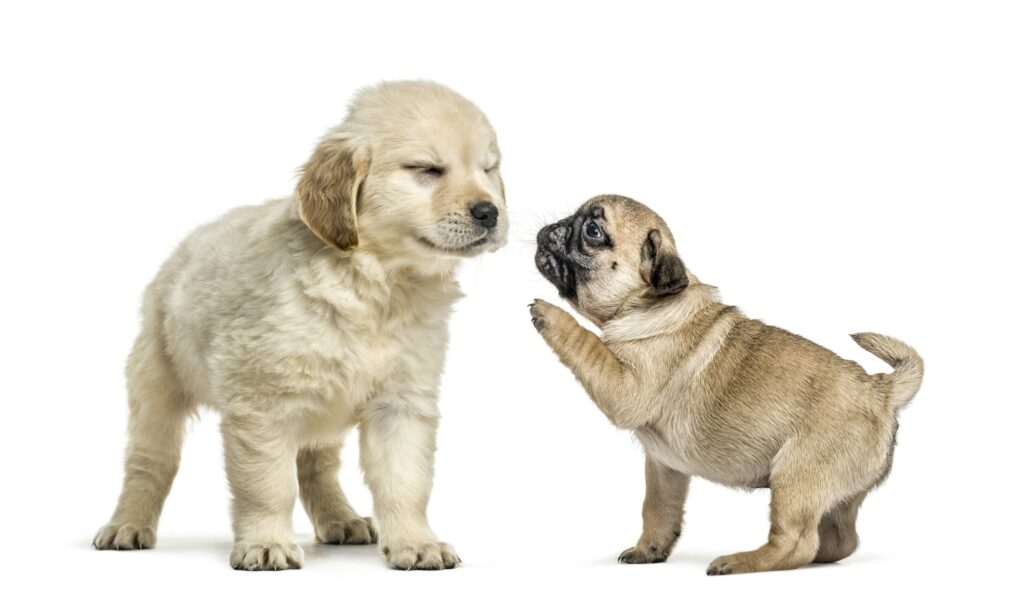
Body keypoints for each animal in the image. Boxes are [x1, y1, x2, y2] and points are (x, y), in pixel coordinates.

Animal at [95, 80, 507, 573]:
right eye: (426, 169)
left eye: (488, 169)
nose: (490, 212)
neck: (377, 286)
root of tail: (184, 249)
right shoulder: (261, 405)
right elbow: (268, 486)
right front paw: (265, 543)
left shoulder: (402, 403)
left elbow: (406, 482)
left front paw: (416, 542)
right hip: (156, 385)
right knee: (149, 462)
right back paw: (127, 524)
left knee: (315, 466)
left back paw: (341, 519)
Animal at [532, 195, 925, 577]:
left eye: (592, 231)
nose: (553, 228)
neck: (643, 306)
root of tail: (881, 389)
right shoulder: (664, 467)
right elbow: (657, 509)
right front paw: (650, 550)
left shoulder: (623, 388)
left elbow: (587, 344)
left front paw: (551, 314)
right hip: (837, 495)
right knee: (839, 540)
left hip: (795, 476)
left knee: (796, 543)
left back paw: (740, 562)